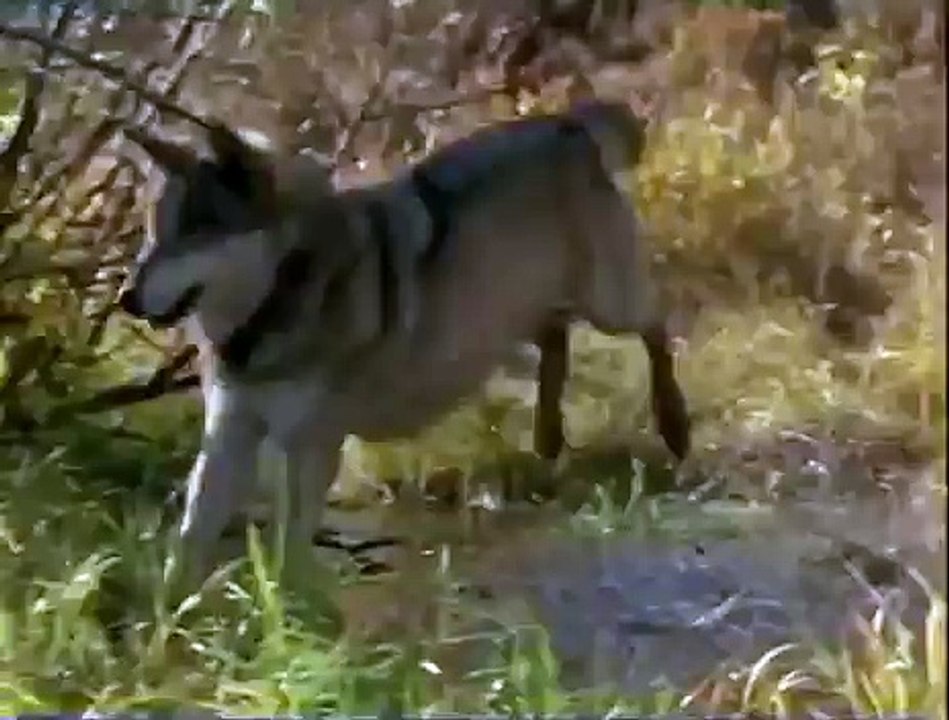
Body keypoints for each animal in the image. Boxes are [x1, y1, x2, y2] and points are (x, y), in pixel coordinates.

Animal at [118, 99, 691, 580]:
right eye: (152, 230)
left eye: (196, 232)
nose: (126, 297)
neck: (273, 304)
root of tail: (568, 122)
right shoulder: (229, 430)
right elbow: (191, 536)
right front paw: (168, 622)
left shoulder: (310, 446)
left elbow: (290, 550)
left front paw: (291, 620)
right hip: (516, 310)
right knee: (557, 337)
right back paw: (548, 435)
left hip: (607, 305)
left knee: (657, 322)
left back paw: (674, 423)